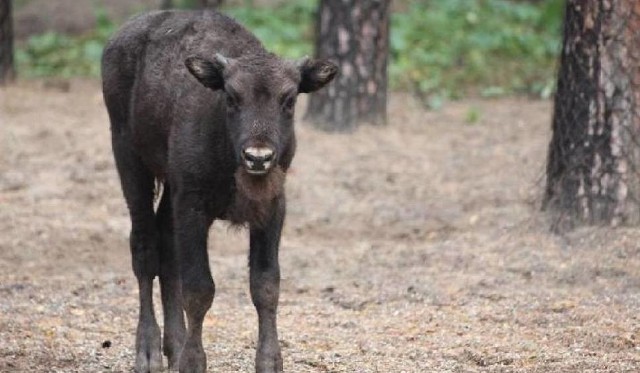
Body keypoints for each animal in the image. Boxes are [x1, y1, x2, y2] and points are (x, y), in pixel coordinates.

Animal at [101, 9, 336, 372]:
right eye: (232, 96)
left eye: (289, 99)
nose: (258, 156)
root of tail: (117, 39)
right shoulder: (193, 208)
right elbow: (199, 289)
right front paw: (194, 361)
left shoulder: (272, 208)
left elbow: (265, 285)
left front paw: (269, 361)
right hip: (129, 160)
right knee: (144, 248)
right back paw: (149, 352)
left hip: (169, 187)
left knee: (166, 247)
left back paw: (174, 345)